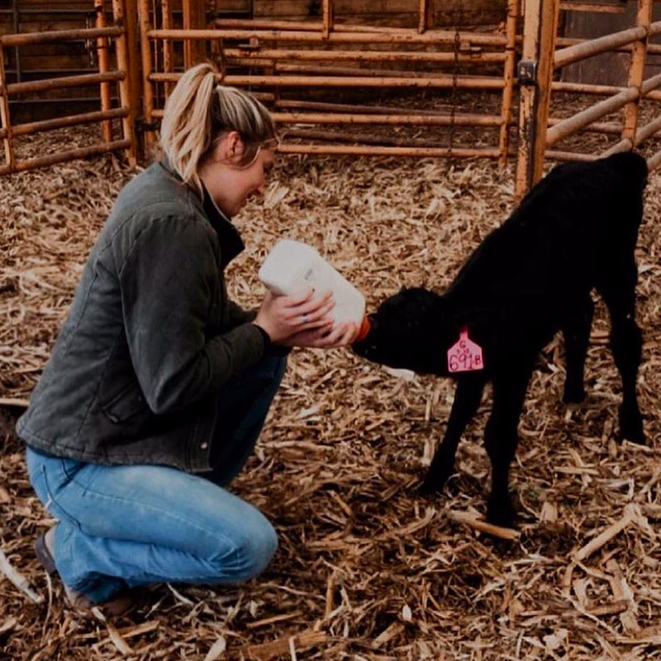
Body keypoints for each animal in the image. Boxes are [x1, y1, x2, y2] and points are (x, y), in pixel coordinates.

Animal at [354, 151, 648, 524]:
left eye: (410, 326)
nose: (362, 336)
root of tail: (612, 162)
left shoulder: (514, 367)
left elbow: (499, 435)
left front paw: (499, 512)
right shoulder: (475, 366)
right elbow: (459, 416)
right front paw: (436, 476)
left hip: (619, 269)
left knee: (626, 342)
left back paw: (632, 424)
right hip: (571, 288)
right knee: (580, 318)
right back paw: (573, 392)